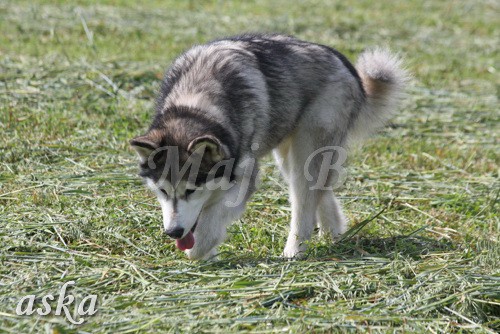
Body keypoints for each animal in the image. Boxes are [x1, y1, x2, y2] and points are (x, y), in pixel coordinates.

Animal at [131, 32, 408, 260]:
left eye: (190, 190)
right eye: (162, 191)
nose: (173, 232)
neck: (196, 103)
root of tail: (344, 63)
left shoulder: (245, 175)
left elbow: (213, 218)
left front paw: (199, 249)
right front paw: (207, 253)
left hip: (307, 152)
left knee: (305, 203)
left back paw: (294, 251)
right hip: (289, 157)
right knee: (320, 193)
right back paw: (333, 235)